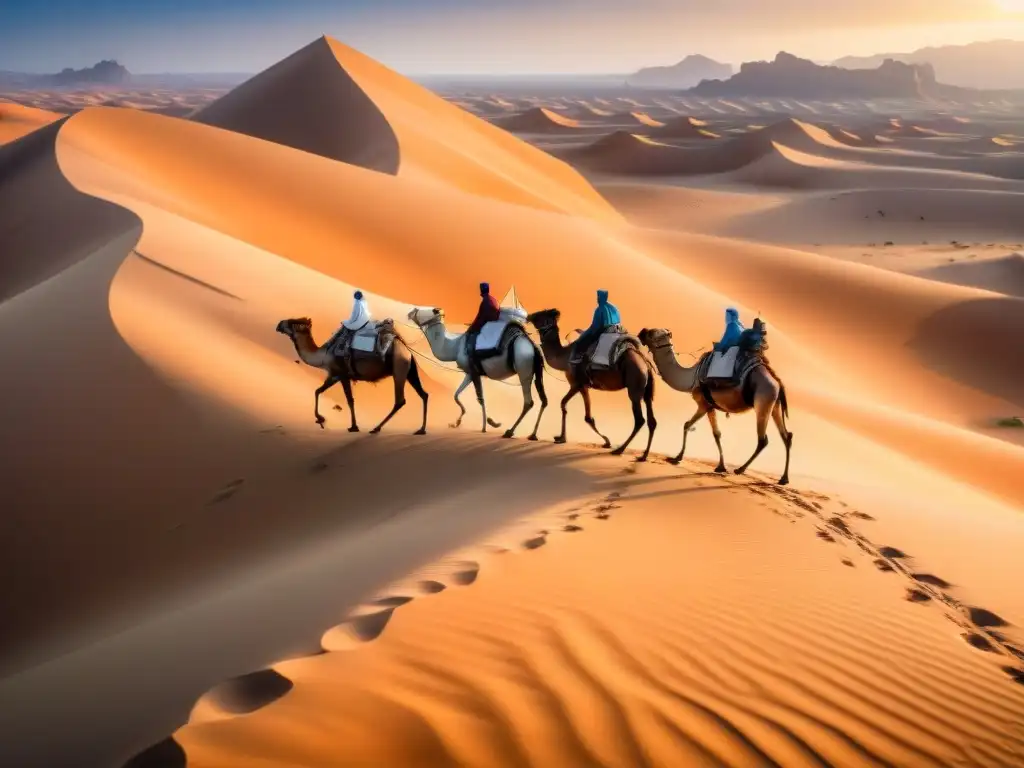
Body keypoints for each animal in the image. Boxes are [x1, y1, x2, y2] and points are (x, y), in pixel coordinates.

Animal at [274, 317, 425, 436]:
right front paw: (321, 420)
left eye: (293, 322)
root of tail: (407, 351)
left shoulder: (342, 375)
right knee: (423, 394)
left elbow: (349, 400)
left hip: (399, 368)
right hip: (410, 371)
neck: (324, 355)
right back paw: (421, 430)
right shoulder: (334, 375)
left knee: (400, 401)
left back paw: (376, 428)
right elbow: (318, 391)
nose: (279, 324)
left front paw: (353, 427)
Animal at [409, 307, 552, 438]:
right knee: (544, 400)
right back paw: (533, 434)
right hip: (536, 370)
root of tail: (533, 347)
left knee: (529, 401)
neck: (455, 346)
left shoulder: (473, 371)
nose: (410, 312)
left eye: (422, 310)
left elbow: (480, 398)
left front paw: (486, 425)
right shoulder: (470, 373)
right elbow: (456, 395)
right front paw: (456, 423)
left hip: (524, 367)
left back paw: (510, 432)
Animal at [524, 309, 659, 462]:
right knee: (652, 421)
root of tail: (646, 365)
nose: (529, 316)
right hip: (647, 391)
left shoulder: (576, 384)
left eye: (540, 315)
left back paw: (619, 450)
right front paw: (606, 442)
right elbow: (587, 417)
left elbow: (563, 403)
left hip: (634, 387)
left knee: (640, 420)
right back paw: (643, 456)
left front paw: (562, 438)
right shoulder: (584, 386)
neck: (565, 357)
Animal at [634, 327, 794, 483]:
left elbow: (687, 425)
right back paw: (784, 478)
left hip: (763, 401)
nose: (642, 332)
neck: (692, 377)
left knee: (763, 440)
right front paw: (720, 466)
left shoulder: (703, 404)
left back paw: (740, 469)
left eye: (653, 333)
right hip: (774, 405)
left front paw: (677, 458)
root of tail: (777, 382)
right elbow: (716, 433)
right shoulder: (711, 406)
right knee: (786, 436)